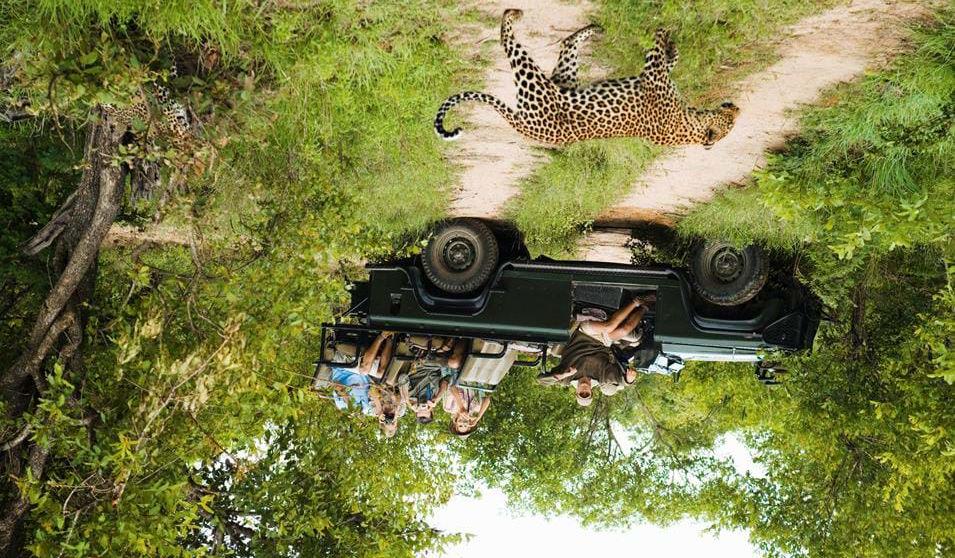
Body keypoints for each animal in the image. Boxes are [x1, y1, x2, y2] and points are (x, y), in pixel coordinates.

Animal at [436, 9, 744, 149]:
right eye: (731, 121)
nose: (738, 108)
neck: (690, 122)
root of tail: (523, 125)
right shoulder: (653, 75)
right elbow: (667, 57)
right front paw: (671, 41)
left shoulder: (653, 76)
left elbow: (656, 50)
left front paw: (663, 30)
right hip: (562, 81)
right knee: (564, 44)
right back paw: (591, 28)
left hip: (539, 83)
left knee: (510, 41)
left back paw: (514, 14)